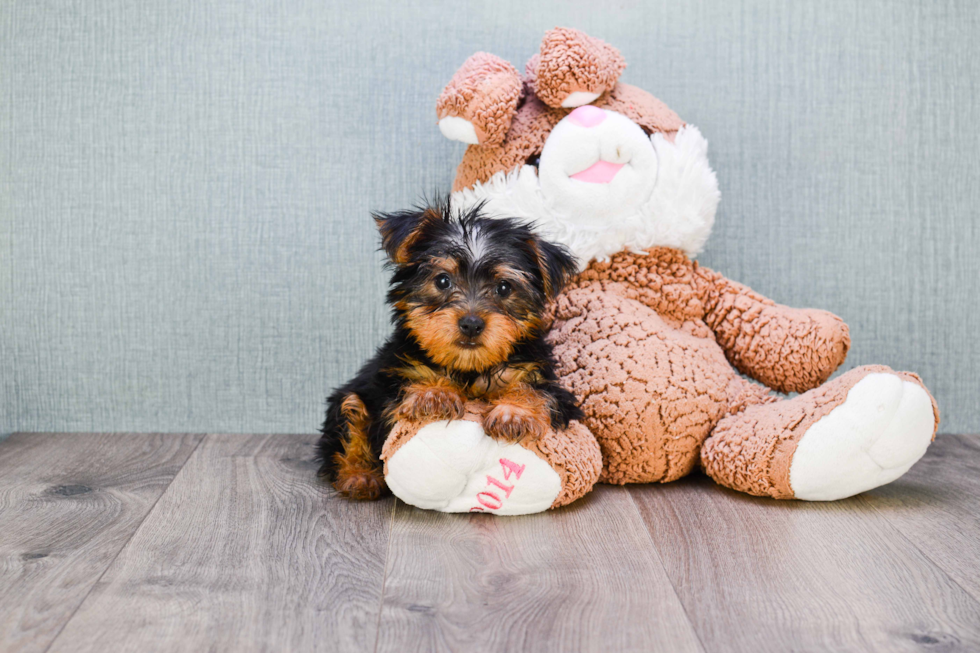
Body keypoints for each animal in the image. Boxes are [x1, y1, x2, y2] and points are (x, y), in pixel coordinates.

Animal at [318, 201, 580, 496]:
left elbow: (536, 391)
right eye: (443, 281)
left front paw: (514, 413)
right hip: (349, 399)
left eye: (504, 287)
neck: (467, 366)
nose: (471, 324)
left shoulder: (547, 383)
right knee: (350, 420)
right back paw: (360, 476)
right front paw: (434, 394)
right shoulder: (392, 381)